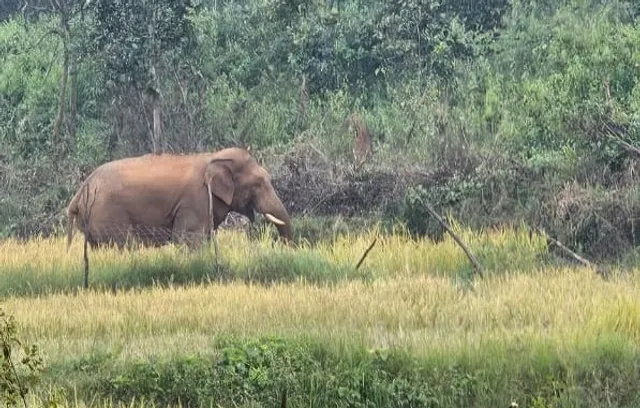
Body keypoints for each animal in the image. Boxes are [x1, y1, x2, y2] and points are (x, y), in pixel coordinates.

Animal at [66, 147, 292, 249]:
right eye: (258, 184)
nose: (285, 249)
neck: (214, 157)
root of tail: (79, 193)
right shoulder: (195, 201)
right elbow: (188, 239)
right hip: (108, 214)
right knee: (125, 244)